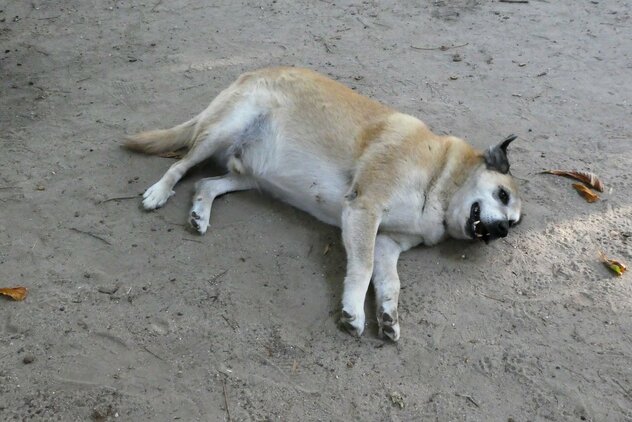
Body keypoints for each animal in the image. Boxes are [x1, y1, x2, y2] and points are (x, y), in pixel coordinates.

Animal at [124, 67, 524, 342]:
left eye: (515, 222)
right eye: (502, 195)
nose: (503, 231)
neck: (440, 179)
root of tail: (252, 72)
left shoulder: (387, 243)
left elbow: (390, 283)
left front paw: (388, 315)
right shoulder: (364, 210)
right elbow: (362, 269)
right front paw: (353, 312)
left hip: (251, 177)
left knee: (206, 183)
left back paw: (199, 213)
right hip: (221, 133)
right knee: (180, 165)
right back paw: (158, 192)